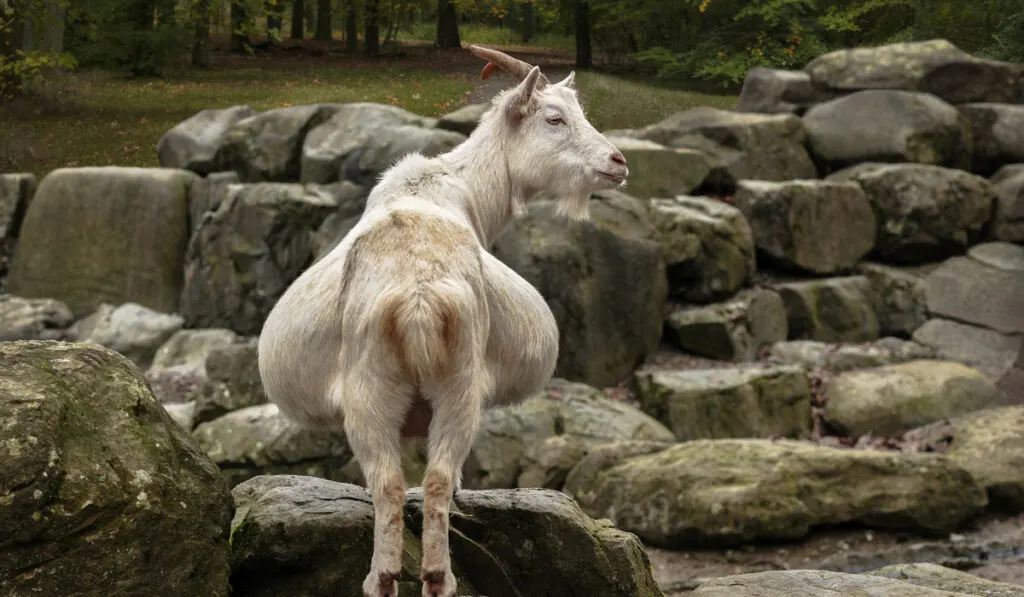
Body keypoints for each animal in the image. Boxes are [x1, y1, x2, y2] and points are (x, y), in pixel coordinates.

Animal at [258, 45, 622, 597]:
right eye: (555, 117)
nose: (617, 162)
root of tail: (419, 295)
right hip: (454, 383)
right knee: (430, 480)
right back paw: (429, 576)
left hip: (385, 390)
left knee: (397, 483)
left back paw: (401, 578)